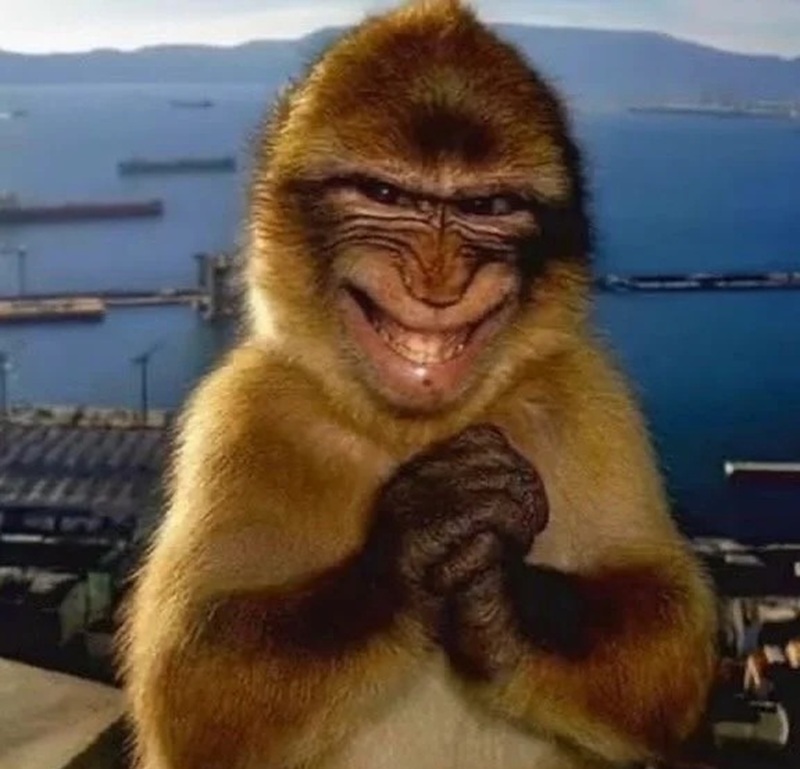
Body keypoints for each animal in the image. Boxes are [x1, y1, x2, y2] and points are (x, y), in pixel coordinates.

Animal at [118, 1, 719, 768]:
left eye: (487, 206)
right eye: (386, 194)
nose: (438, 279)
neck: (414, 429)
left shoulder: (590, 397)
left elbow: (668, 630)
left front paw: (504, 596)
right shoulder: (243, 413)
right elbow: (193, 679)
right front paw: (416, 535)